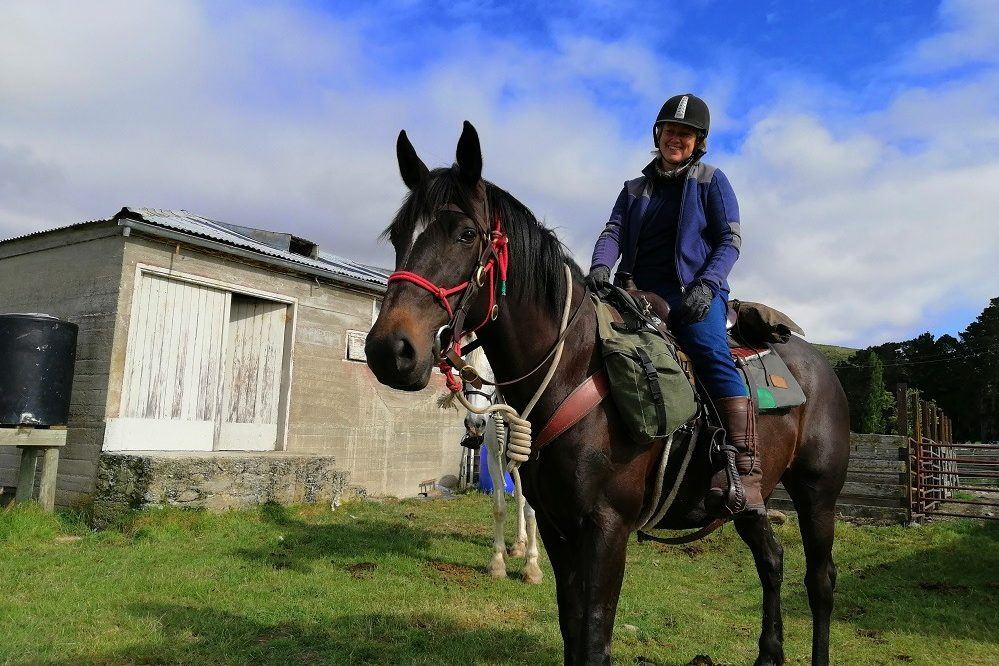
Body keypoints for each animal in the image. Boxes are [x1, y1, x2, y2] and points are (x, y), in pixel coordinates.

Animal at [368, 122, 852, 660]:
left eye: (466, 234)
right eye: (397, 235)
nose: (389, 349)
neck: (572, 370)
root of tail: (817, 366)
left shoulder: (606, 528)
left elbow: (595, 634)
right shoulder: (558, 526)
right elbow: (572, 626)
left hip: (817, 495)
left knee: (820, 581)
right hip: (751, 502)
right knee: (772, 559)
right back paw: (768, 653)